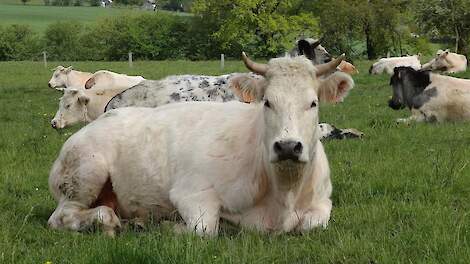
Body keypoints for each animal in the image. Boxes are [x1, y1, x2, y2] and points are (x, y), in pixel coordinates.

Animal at [47, 53, 354, 235]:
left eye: (313, 103)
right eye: (267, 102)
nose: (288, 146)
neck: (283, 191)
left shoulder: (322, 203)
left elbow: (314, 224)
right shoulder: (191, 193)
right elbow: (204, 228)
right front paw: (169, 226)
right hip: (86, 172)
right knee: (64, 217)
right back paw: (113, 221)